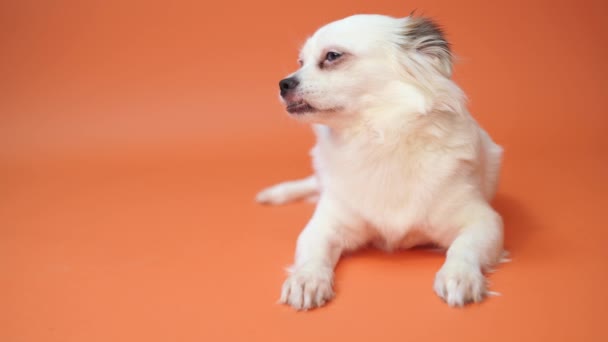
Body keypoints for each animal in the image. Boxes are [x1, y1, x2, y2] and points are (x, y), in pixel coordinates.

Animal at [258, 12, 506, 310]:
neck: (377, 138)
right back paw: (276, 194)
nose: (283, 83)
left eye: (332, 56)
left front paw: (459, 275)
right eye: (300, 62)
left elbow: (463, 248)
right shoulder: (325, 224)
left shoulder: (484, 221)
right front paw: (306, 279)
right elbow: (312, 252)